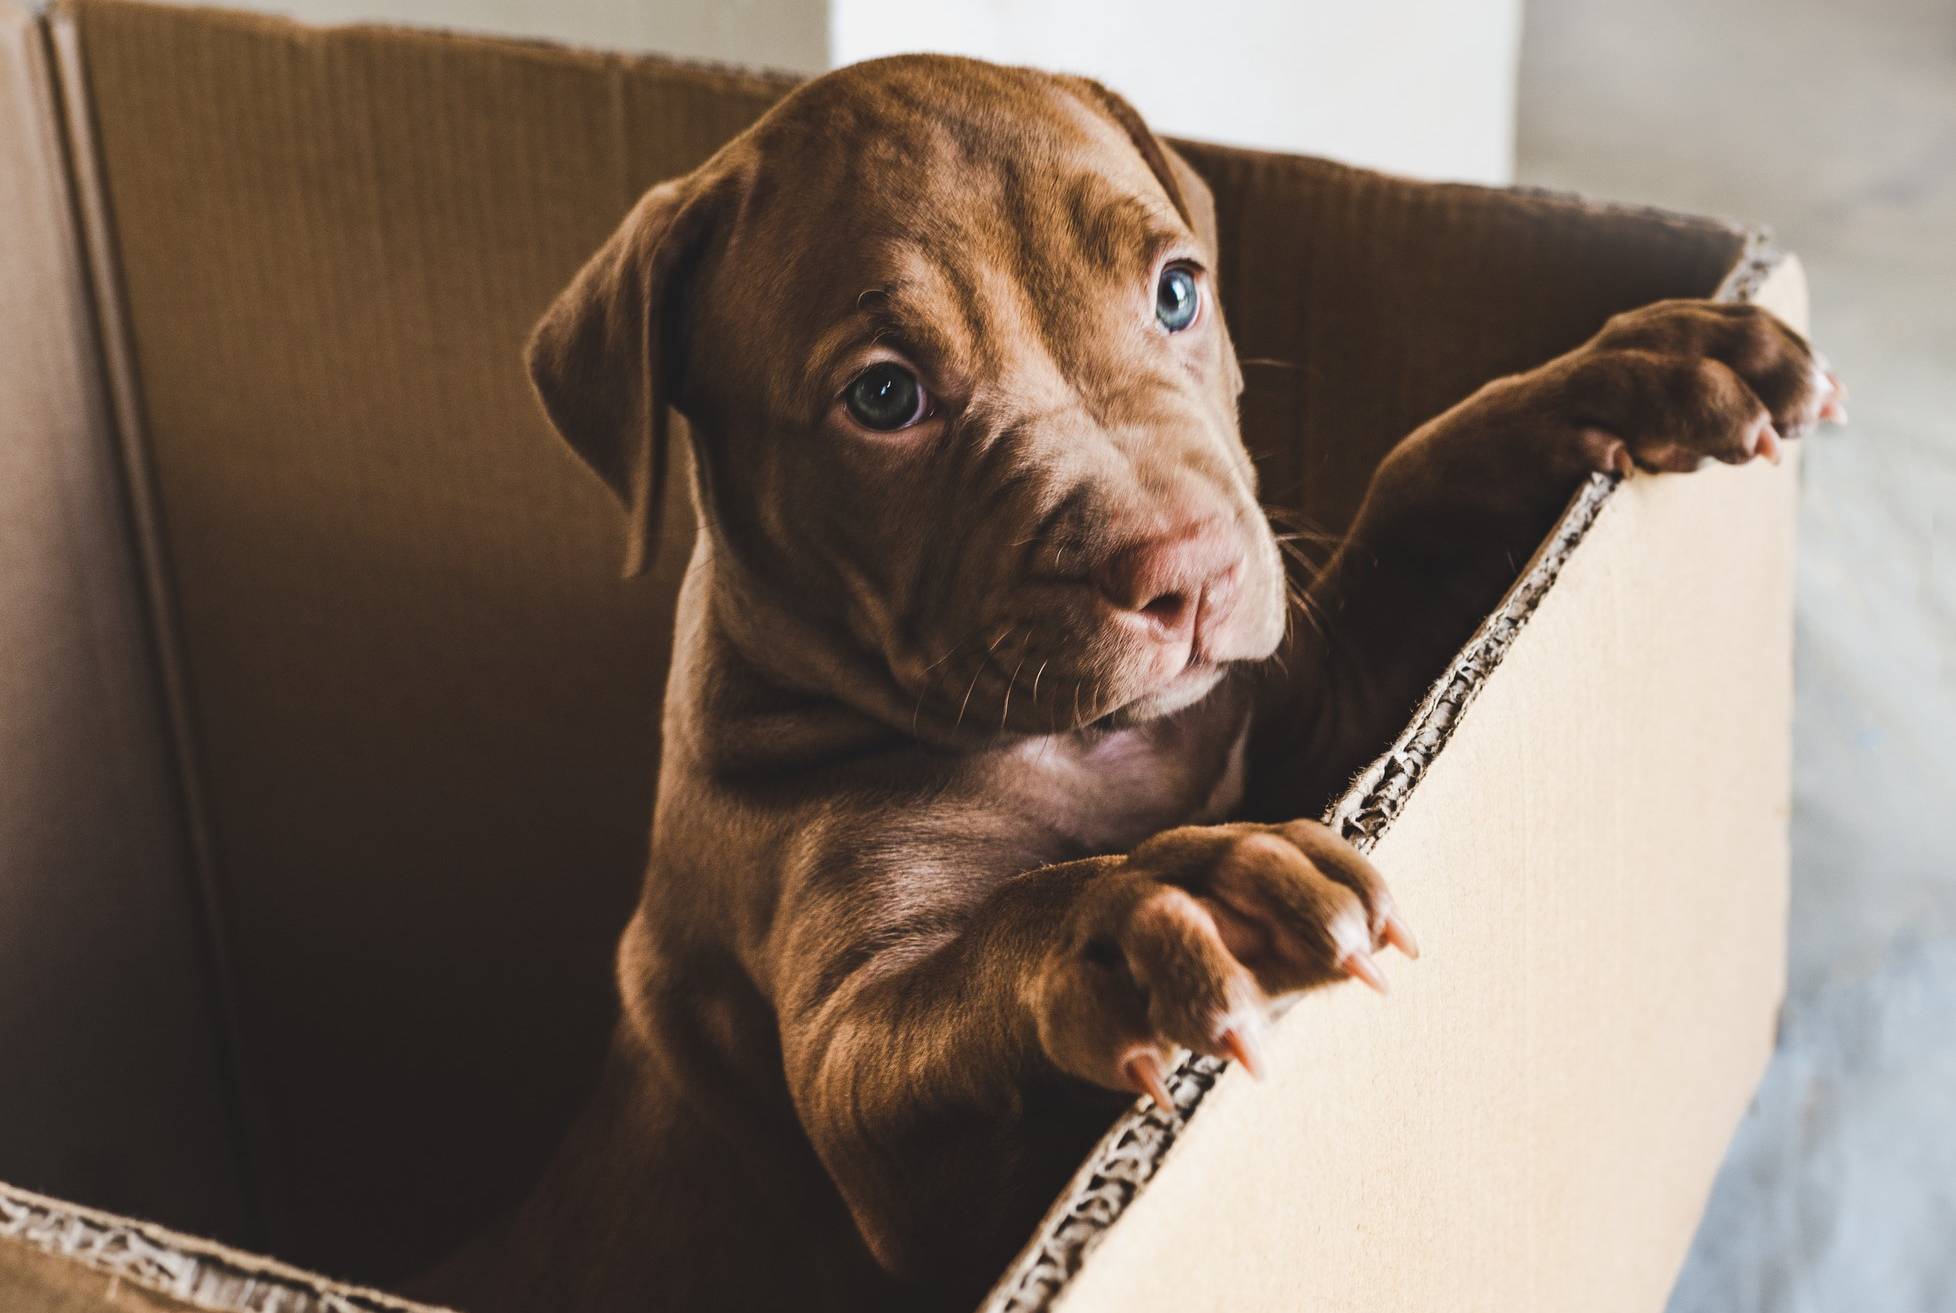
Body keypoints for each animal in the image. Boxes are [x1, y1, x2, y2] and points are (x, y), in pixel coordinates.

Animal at [432, 53, 1846, 1313]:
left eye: (1177, 293)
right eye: (883, 395)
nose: (1190, 569)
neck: (1099, 745)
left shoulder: (1310, 712)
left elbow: (1416, 486)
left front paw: (1628, 368)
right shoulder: (887, 1135)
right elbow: (972, 970)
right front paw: (1168, 894)